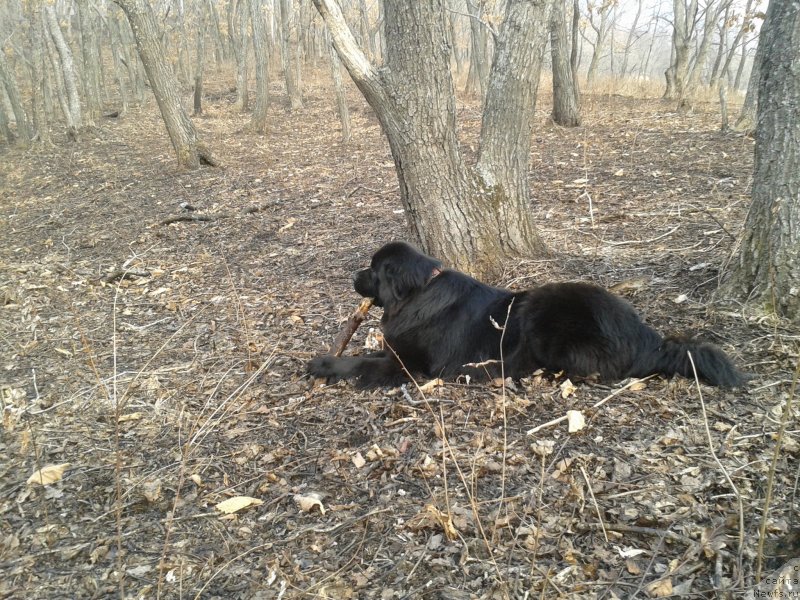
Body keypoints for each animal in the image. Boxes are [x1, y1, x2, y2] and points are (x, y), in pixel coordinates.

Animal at [310, 243, 748, 390]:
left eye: (372, 270)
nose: (352, 277)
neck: (418, 293)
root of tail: (646, 336)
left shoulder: (407, 365)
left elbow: (359, 363)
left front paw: (322, 363)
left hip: (543, 310)